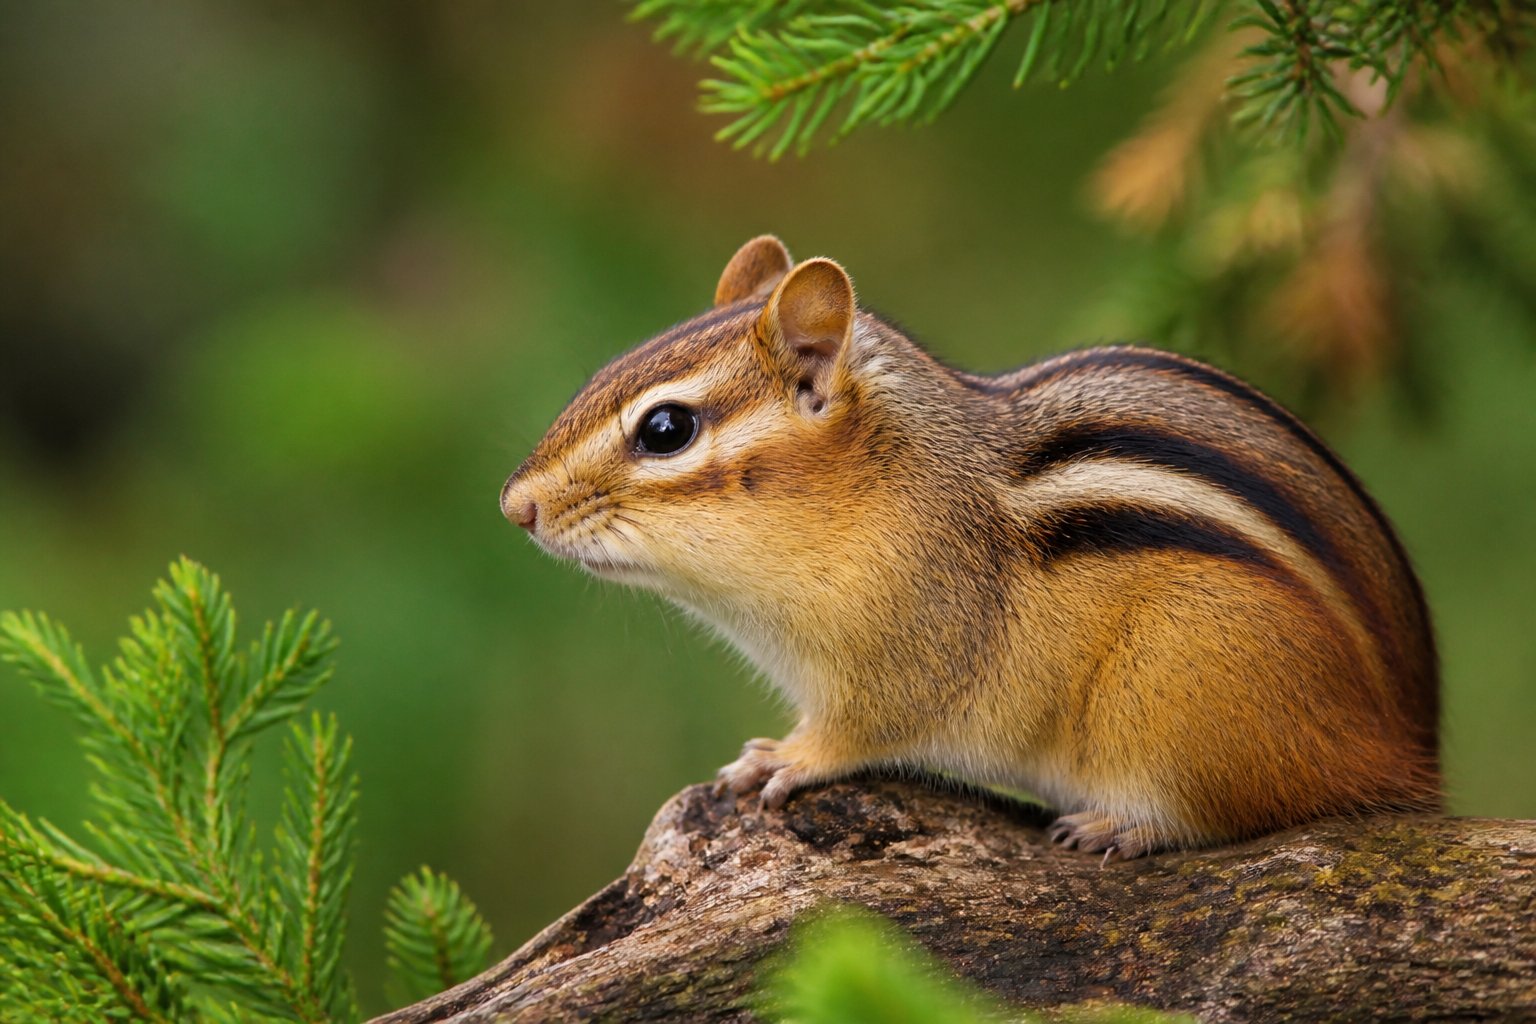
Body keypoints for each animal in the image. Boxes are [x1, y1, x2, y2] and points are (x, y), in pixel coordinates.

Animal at [500, 235, 1440, 860]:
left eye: (666, 429)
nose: (515, 506)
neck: (885, 491)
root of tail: (1406, 751)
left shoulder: (907, 650)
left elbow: (858, 729)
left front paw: (784, 757)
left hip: (1182, 686)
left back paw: (1120, 824)